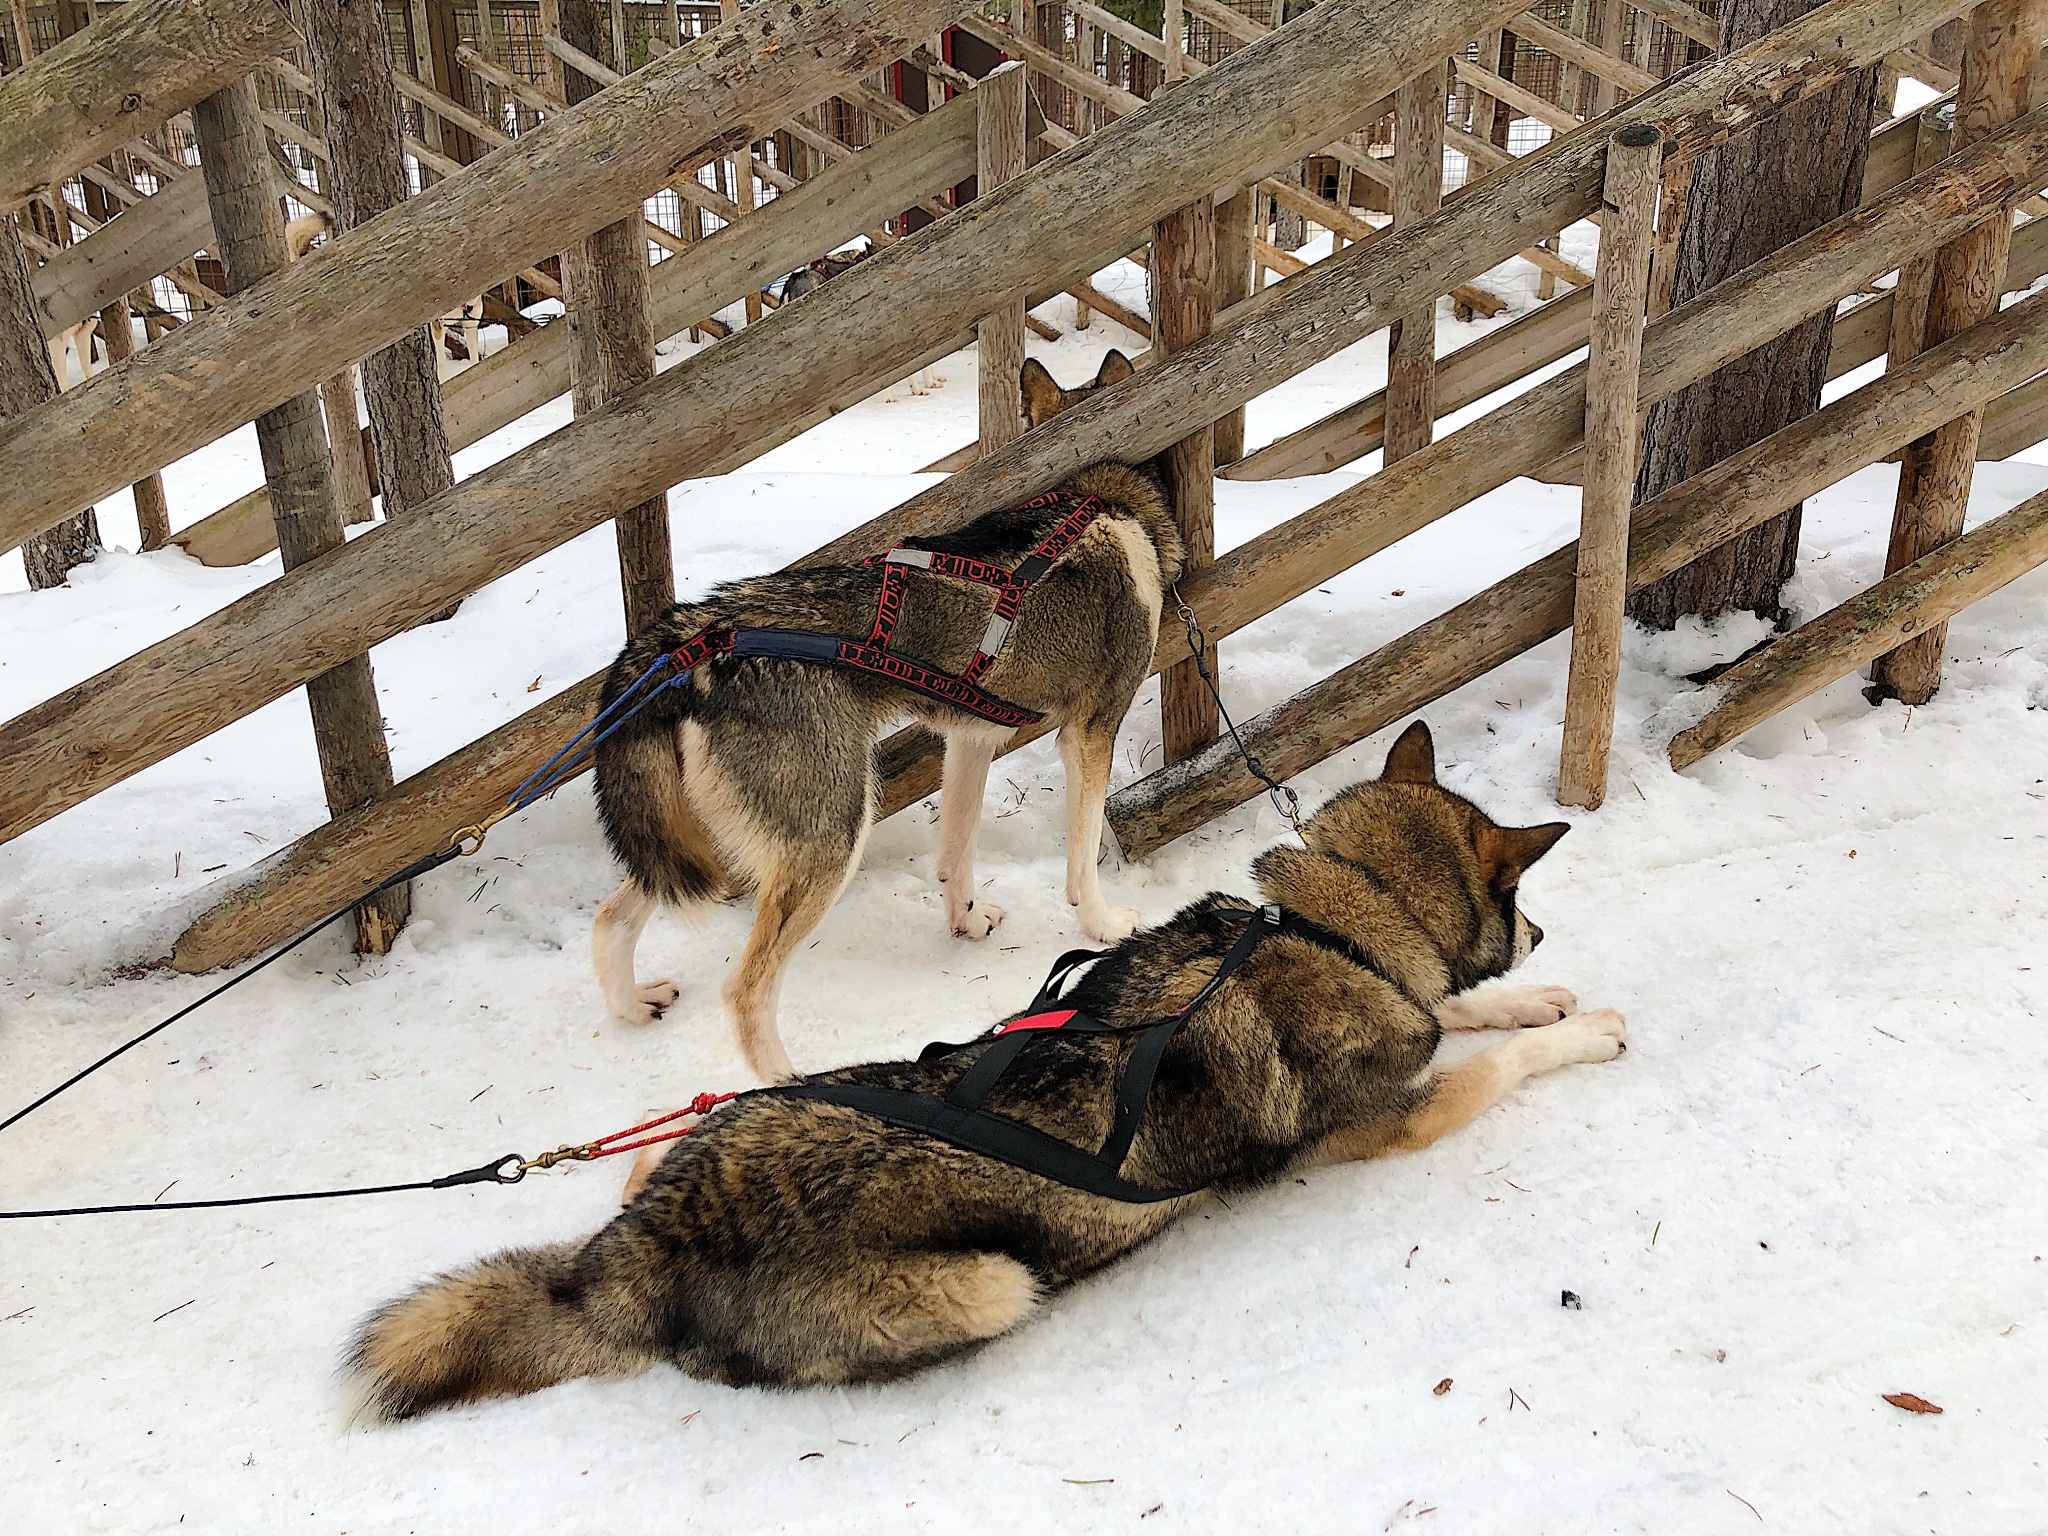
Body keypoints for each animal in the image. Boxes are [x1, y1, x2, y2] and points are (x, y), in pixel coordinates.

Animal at [356, 720, 1630, 1417]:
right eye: (1519, 895)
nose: (1546, 935)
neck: (1336, 923)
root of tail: (640, 1250)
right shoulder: (1401, 1115)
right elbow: (1499, 1058)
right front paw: (1583, 1025)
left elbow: (1468, 1012)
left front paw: (1535, 997)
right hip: (991, 1282)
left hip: (733, 1113)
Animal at [589, 356, 1187, 1089]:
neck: (1103, 503)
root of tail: (699, 634)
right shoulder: (1091, 730)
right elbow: (1082, 855)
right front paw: (1103, 924)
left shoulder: (971, 738)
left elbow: (956, 852)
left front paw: (967, 923)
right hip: (831, 833)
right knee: (745, 989)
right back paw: (788, 1082)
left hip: (695, 838)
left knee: (612, 916)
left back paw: (632, 1004)